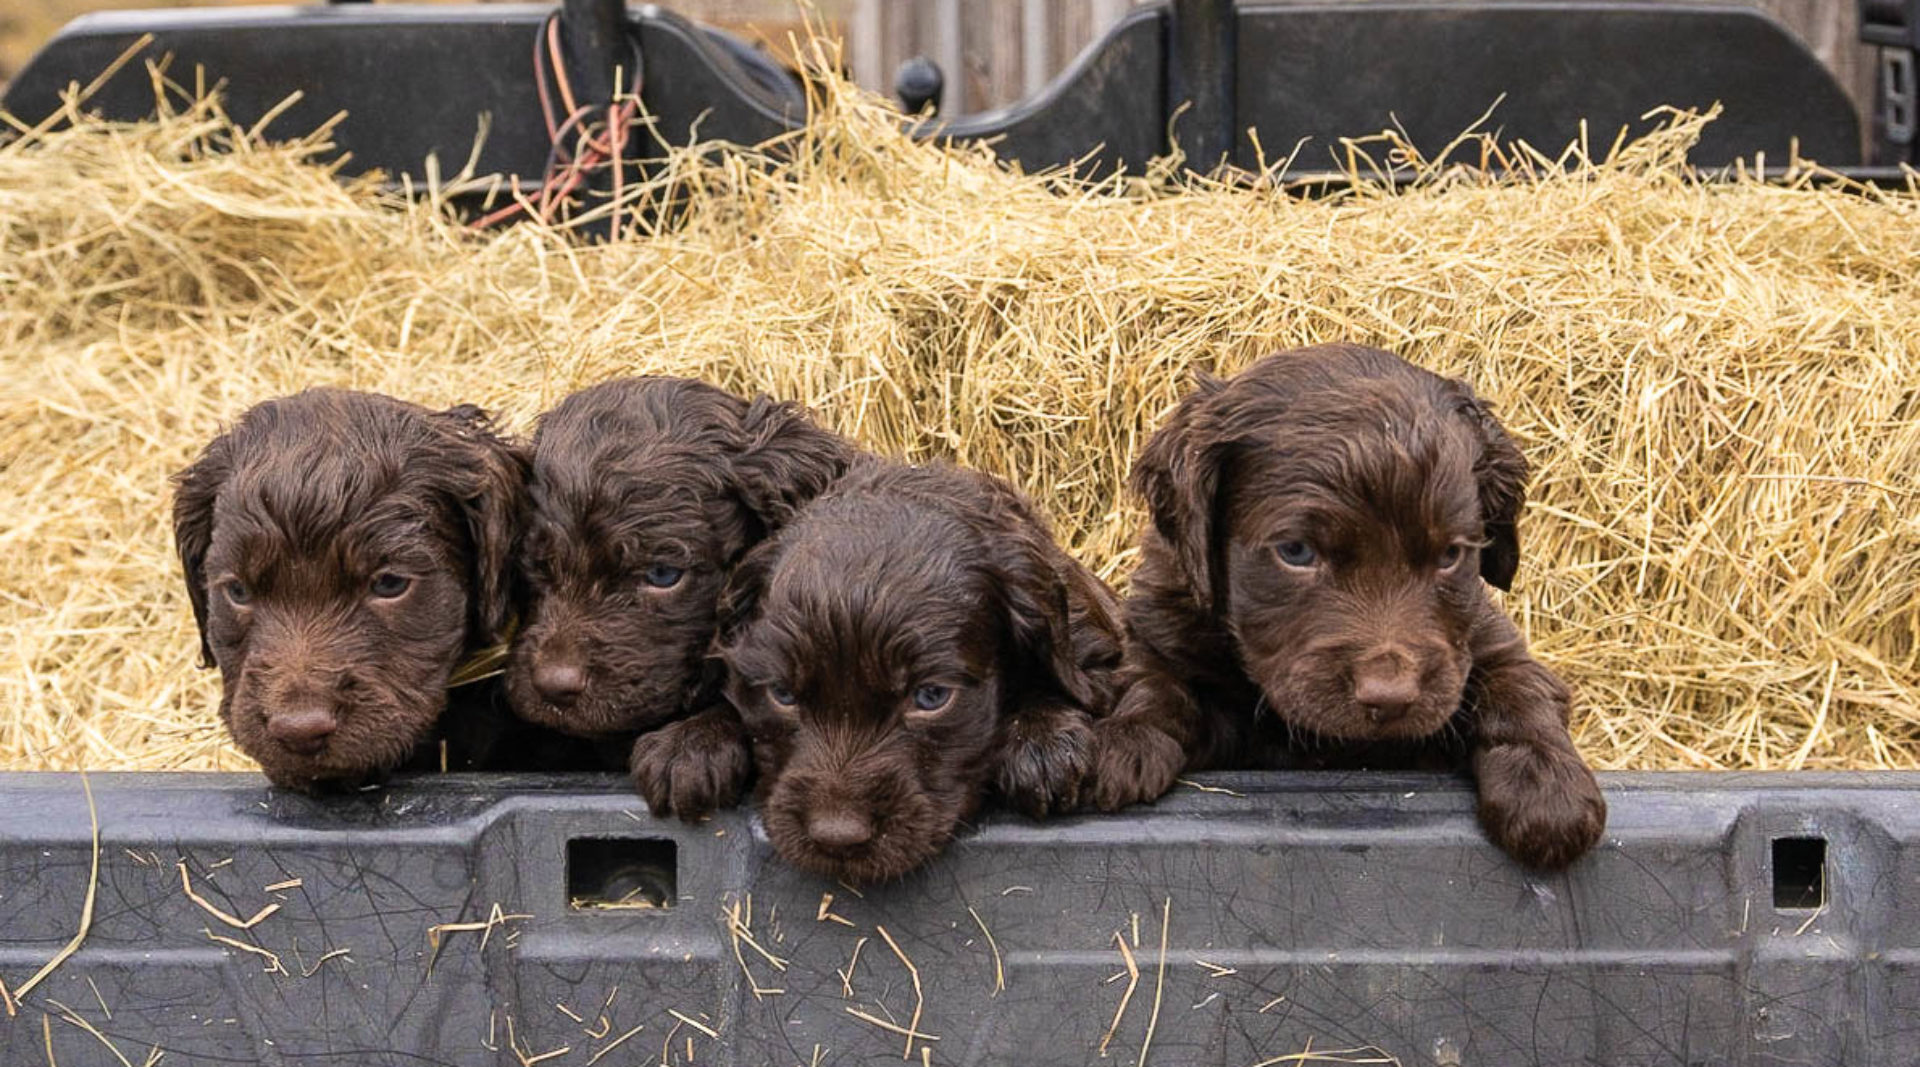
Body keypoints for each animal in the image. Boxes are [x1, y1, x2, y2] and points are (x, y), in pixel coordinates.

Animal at [1098, 345, 1605, 871]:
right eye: (1296, 551)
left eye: (1450, 555)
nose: (1390, 698)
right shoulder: (1165, 624)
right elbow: (1153, 678)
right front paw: (1128, 739)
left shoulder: (1484, 641)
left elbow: (1518, 685)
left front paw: (1547, 787)